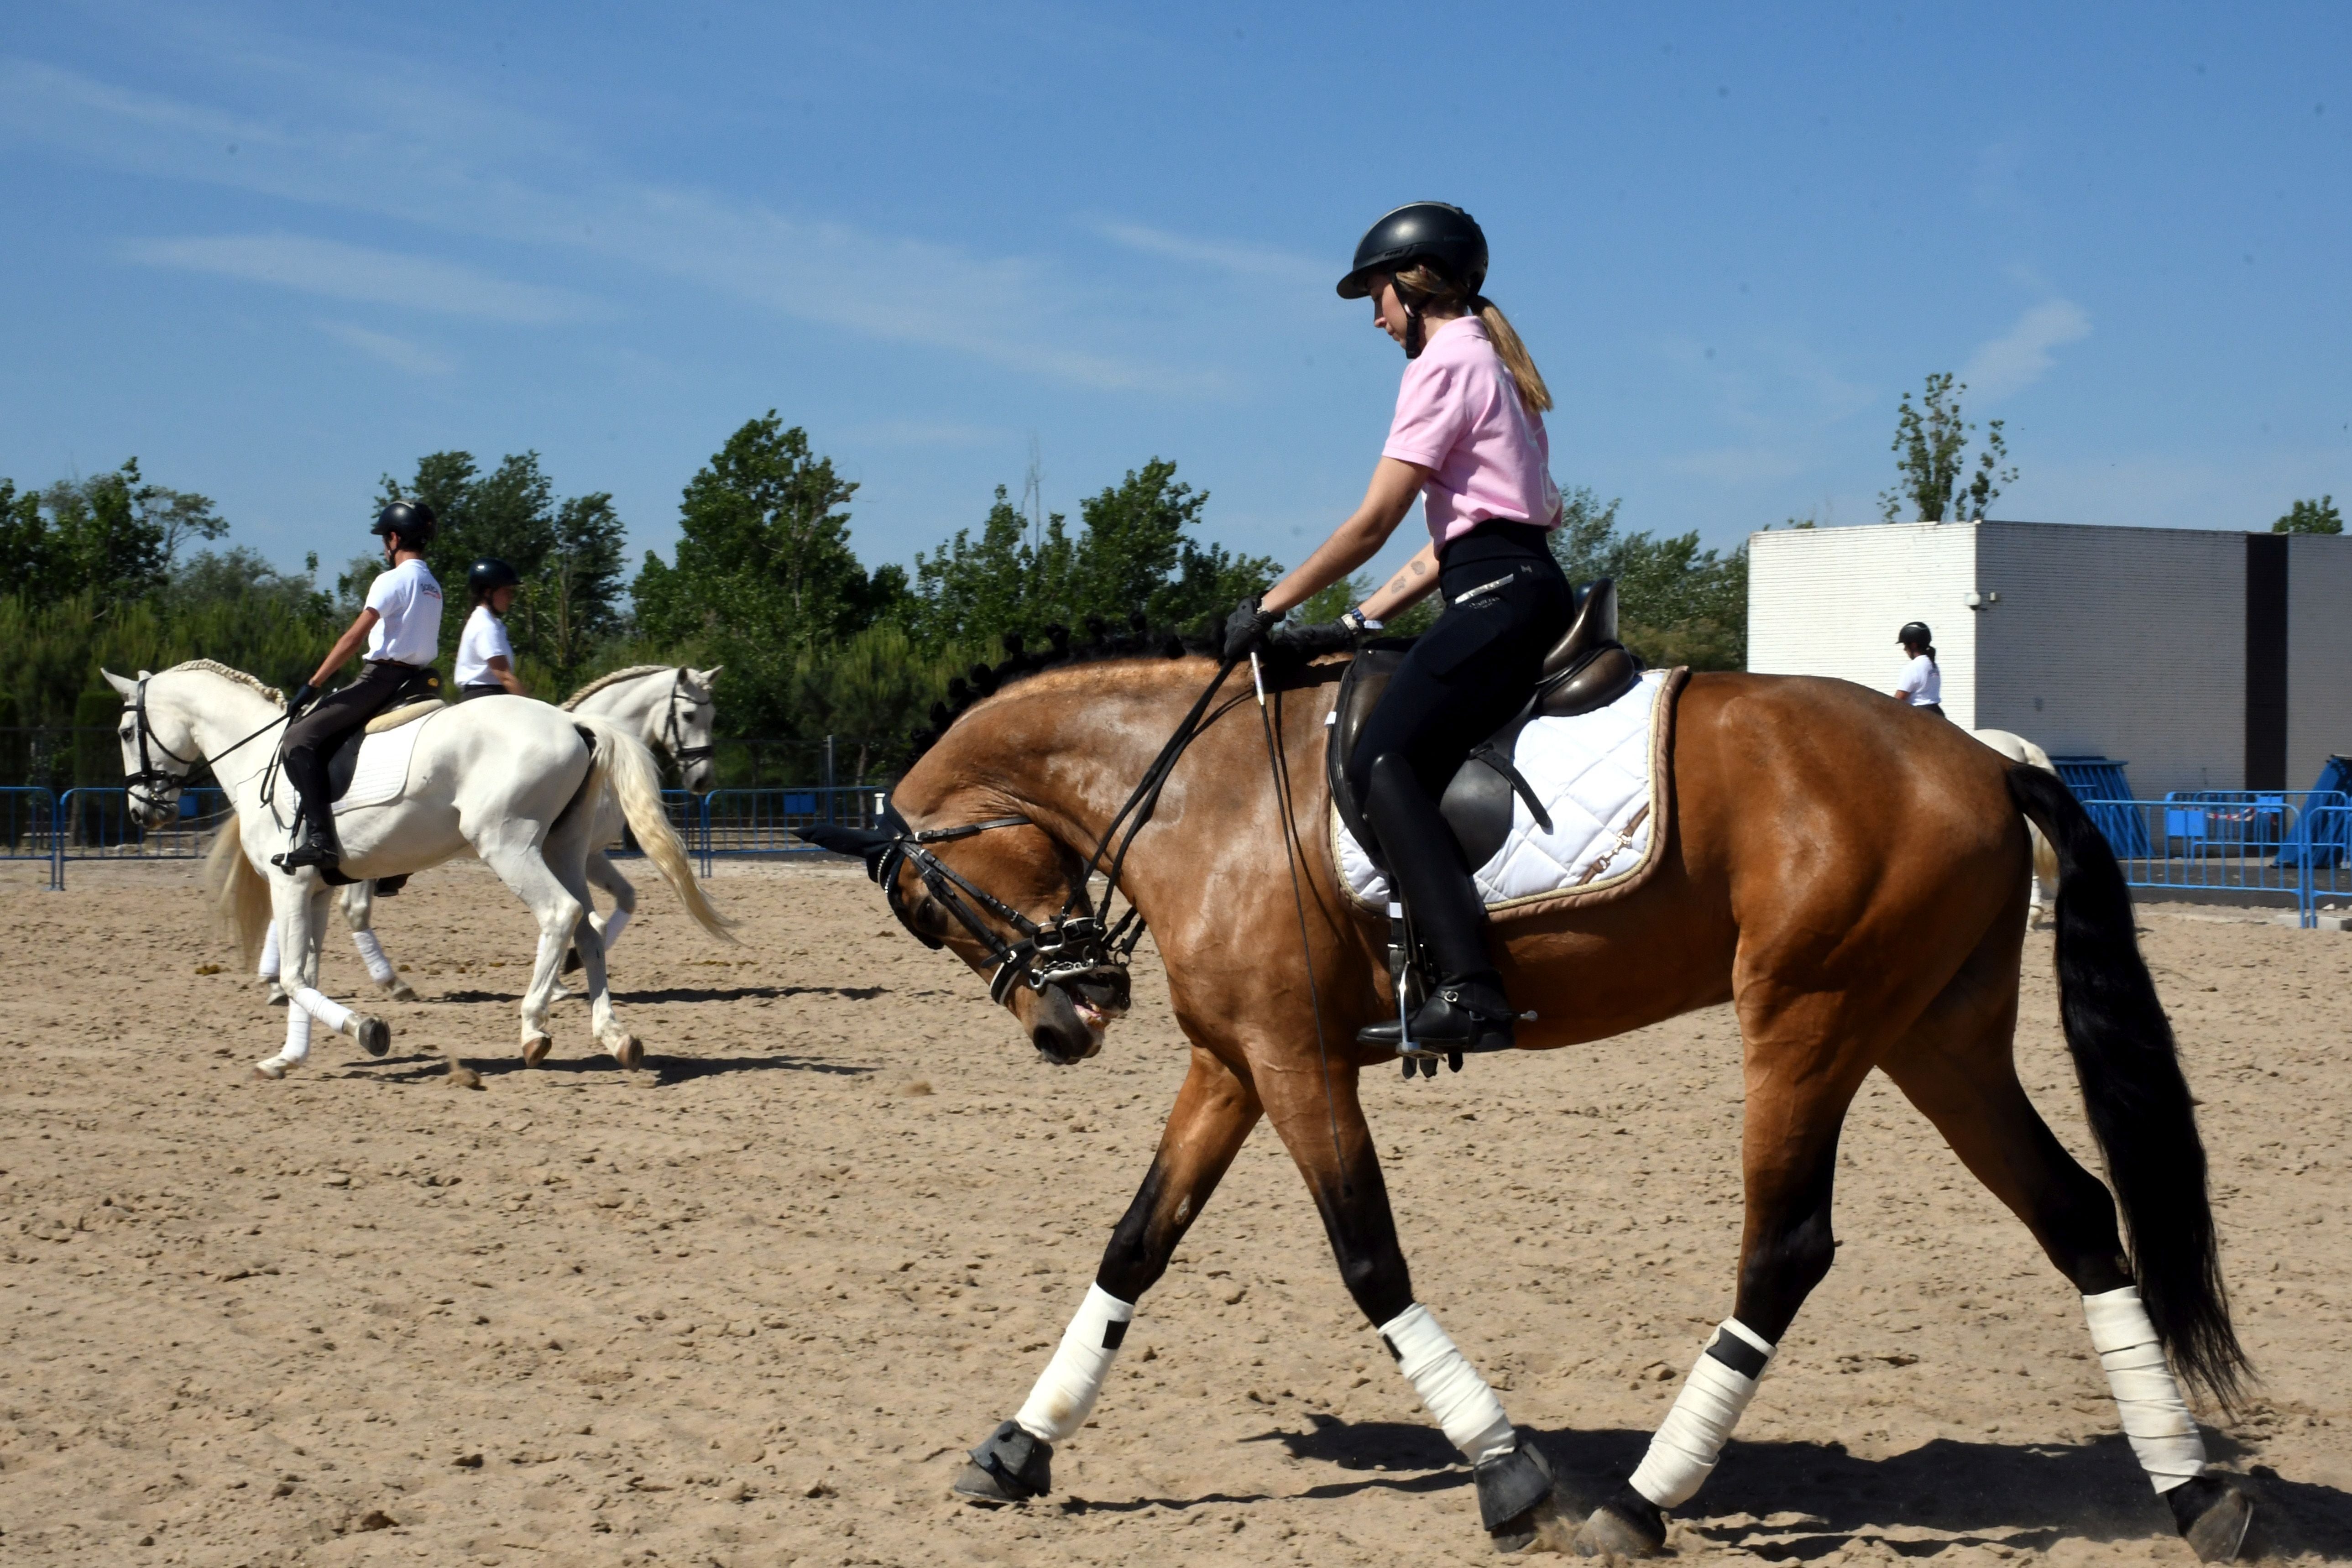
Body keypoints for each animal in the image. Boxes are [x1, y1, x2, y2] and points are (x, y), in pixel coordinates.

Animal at [249, 668, 720, 1006]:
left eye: (711, 716)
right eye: (690, 715)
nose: (702, 779)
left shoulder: (584, 854)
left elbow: (624, 900)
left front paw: (568, 968)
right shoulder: (585, 855)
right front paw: (563, 974)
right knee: (347, 907)